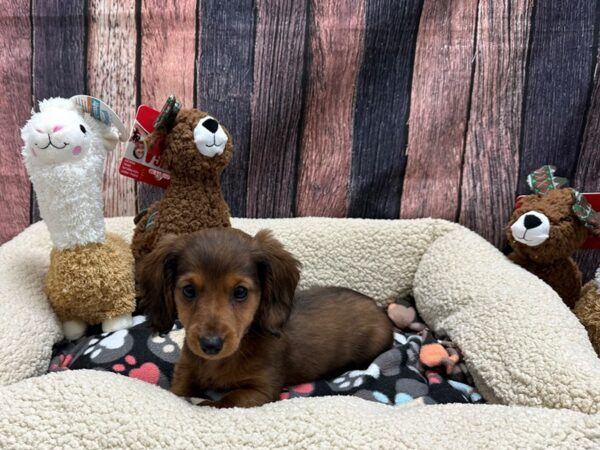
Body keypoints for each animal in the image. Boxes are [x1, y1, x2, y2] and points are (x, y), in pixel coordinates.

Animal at [137, 229, 394, 408]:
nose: (210, 345)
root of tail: (377, 307)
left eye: (240, 292)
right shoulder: (183, 376)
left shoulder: (262, 389)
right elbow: (179, 392)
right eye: (189, 290)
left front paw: (208, 402)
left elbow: (226, 401)